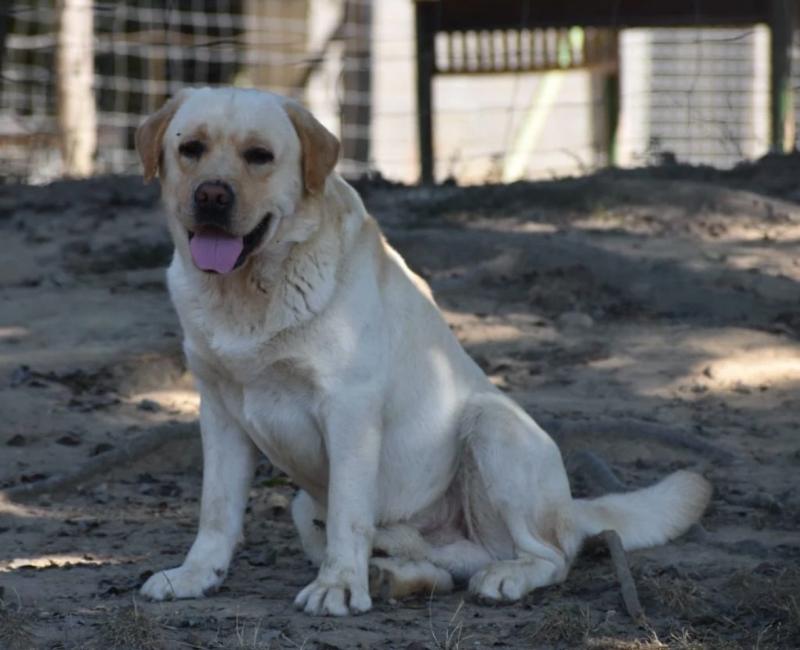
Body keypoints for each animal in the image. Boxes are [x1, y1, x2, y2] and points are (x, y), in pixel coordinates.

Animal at [134, 88, 708, 616]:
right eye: (191, 148)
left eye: (259, 155)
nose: (211, 195)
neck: (248, 293)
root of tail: (571, 507)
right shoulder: (220, 411)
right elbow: (216, 510)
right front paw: (195, 575)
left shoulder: (348, 410)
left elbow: (348, 516)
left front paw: (338, 586)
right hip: (305, 505)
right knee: (445, 567)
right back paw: (394, 574)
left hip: (492, 424)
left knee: (551, 555)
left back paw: (504, 576)